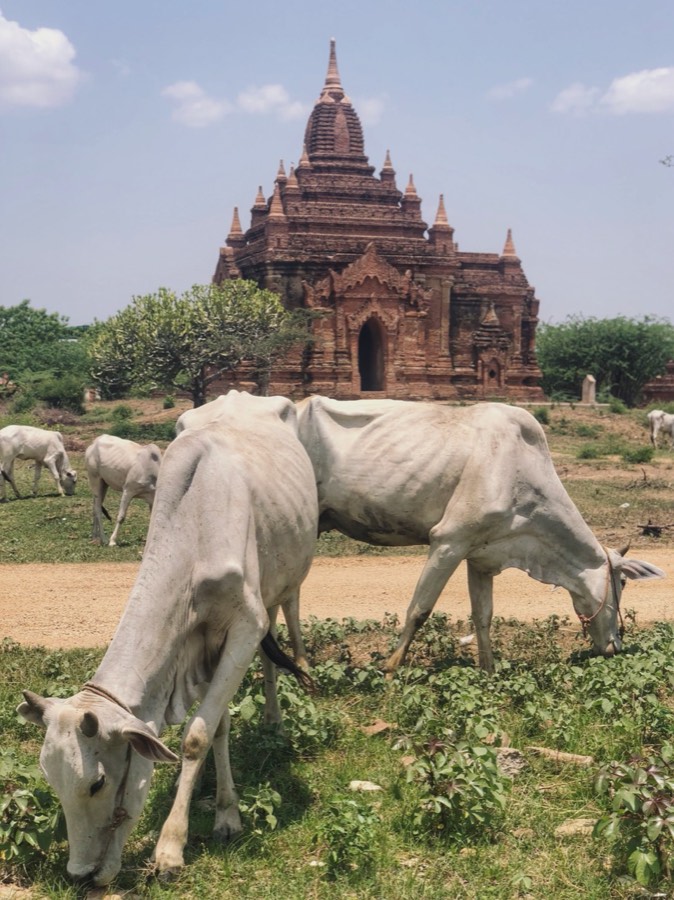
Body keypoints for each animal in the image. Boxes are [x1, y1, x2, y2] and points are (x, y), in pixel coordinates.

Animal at [18, 392, 319, 885]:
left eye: (97, 782)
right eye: (49, 778)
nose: (79, 872)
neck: (194, 530)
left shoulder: (244, 628)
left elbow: (196, 735)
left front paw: (171, 847)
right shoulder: (204, 645)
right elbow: (218, 727)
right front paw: (222, 809)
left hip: (287, 583)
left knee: (283, 633)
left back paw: (277, 716)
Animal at [296, 396, 665, 673]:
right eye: (622, 582)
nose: (615, 646)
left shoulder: (480, 556)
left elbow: (483, 616)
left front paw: (488, 672)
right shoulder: (448, 541)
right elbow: (419, 610)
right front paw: (389, 670)